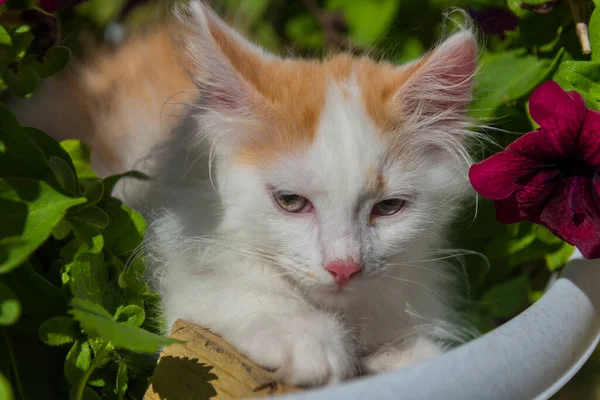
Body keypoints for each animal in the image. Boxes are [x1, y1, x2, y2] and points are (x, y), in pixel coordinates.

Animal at [16, 0, 480, 388]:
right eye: (290, 202)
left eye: (388, 207)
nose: (344, 267)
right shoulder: (178, 235)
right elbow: (234, 282)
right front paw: (303, 336)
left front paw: (402, 358)